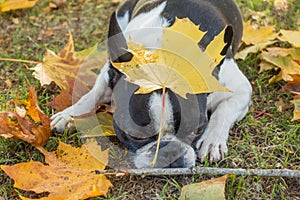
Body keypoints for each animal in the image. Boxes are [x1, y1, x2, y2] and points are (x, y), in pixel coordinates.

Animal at [50, 0, 252, 169]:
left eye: (198, 129)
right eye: (135, 135)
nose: (170, 151)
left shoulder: (241, 90)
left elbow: (224, 110)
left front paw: (212, 140)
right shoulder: (111, 70)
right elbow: (93, 94)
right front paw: (69, 115)